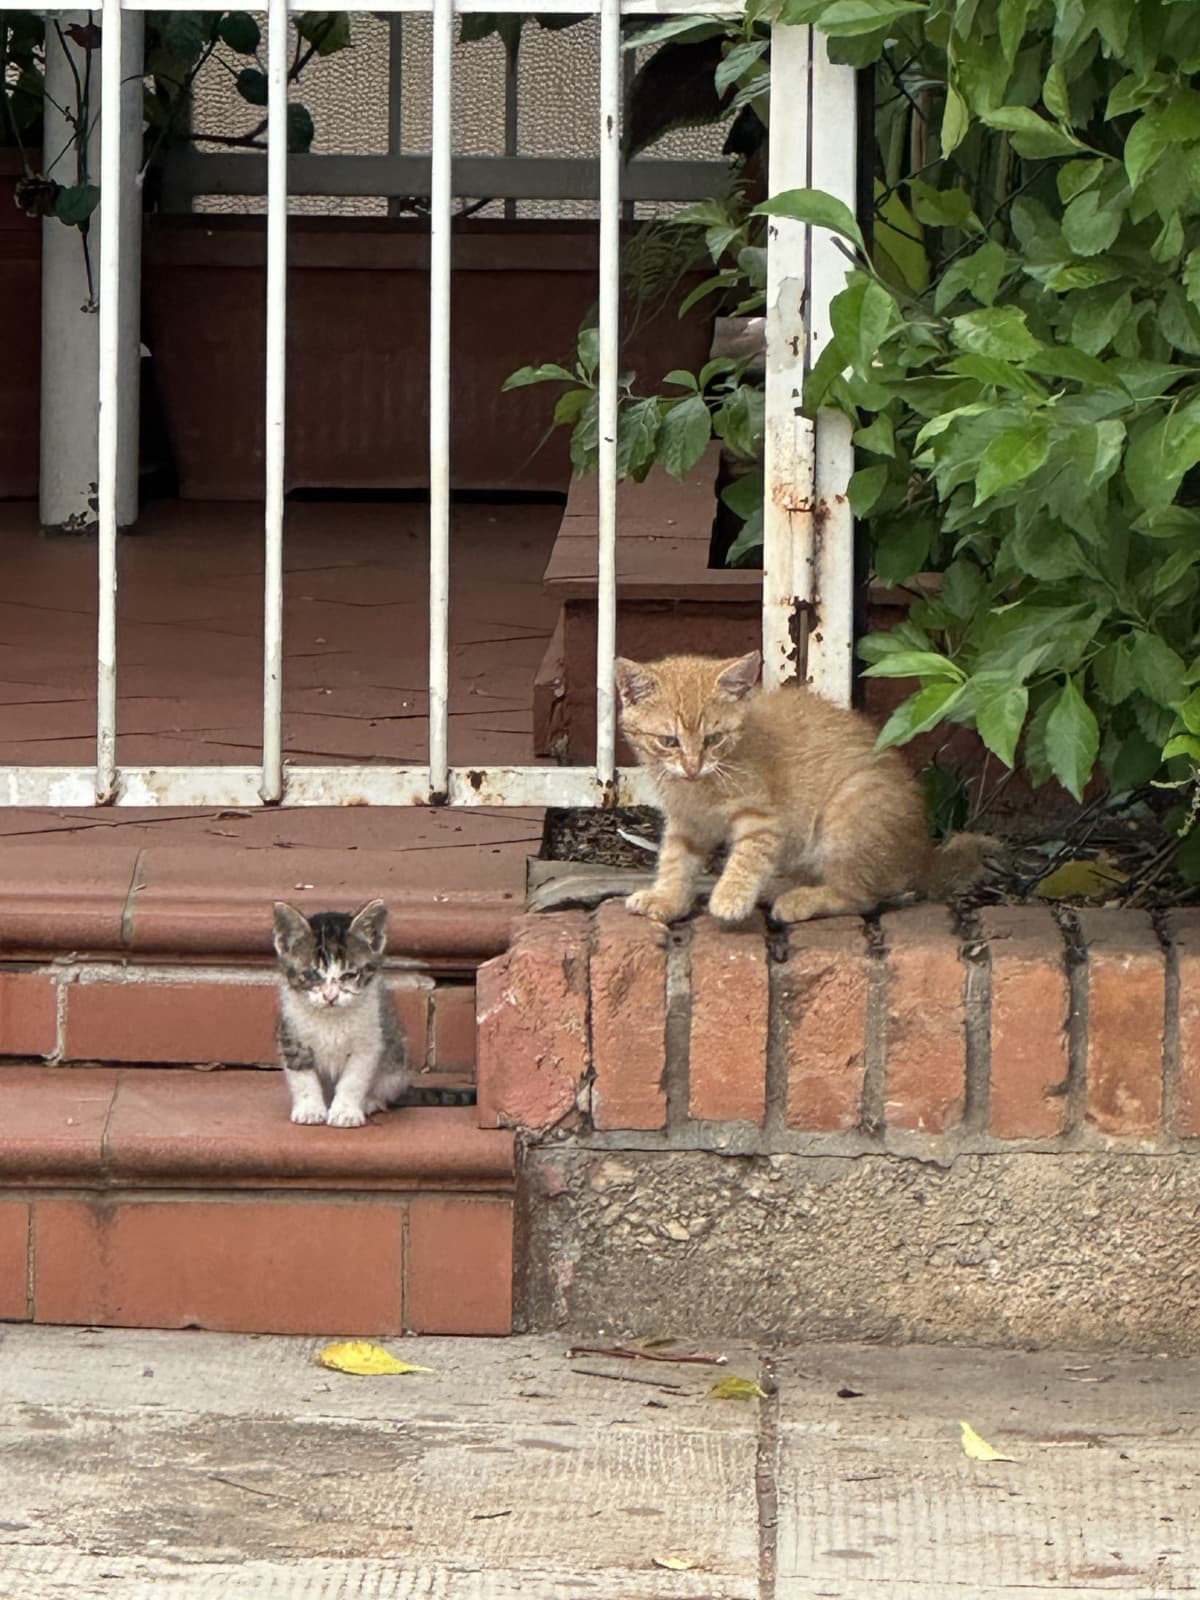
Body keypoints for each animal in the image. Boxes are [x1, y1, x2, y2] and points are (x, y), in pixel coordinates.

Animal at [270, 902, 406, 1126]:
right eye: (312, 975)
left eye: (349, 975)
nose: (330, 996)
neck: (331, 1019)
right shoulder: (292, 1037)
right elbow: (303, 1079)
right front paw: (309, 1109)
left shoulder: (368, 1042)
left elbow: (354, 1079)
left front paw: (346, 1111)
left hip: (395, 1062)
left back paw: (370, 1101)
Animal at [614, 649, 992, 928]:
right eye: (668, 741)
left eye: (713, 739)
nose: (692, 767)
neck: (698, 788)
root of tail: (921, 858)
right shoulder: (687, 822)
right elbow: (676, 860)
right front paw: (667, 899)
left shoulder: (761, 816)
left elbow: (747, 856)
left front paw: (730, 897)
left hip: (849, 811)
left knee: (859, 897)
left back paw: (801, 899)